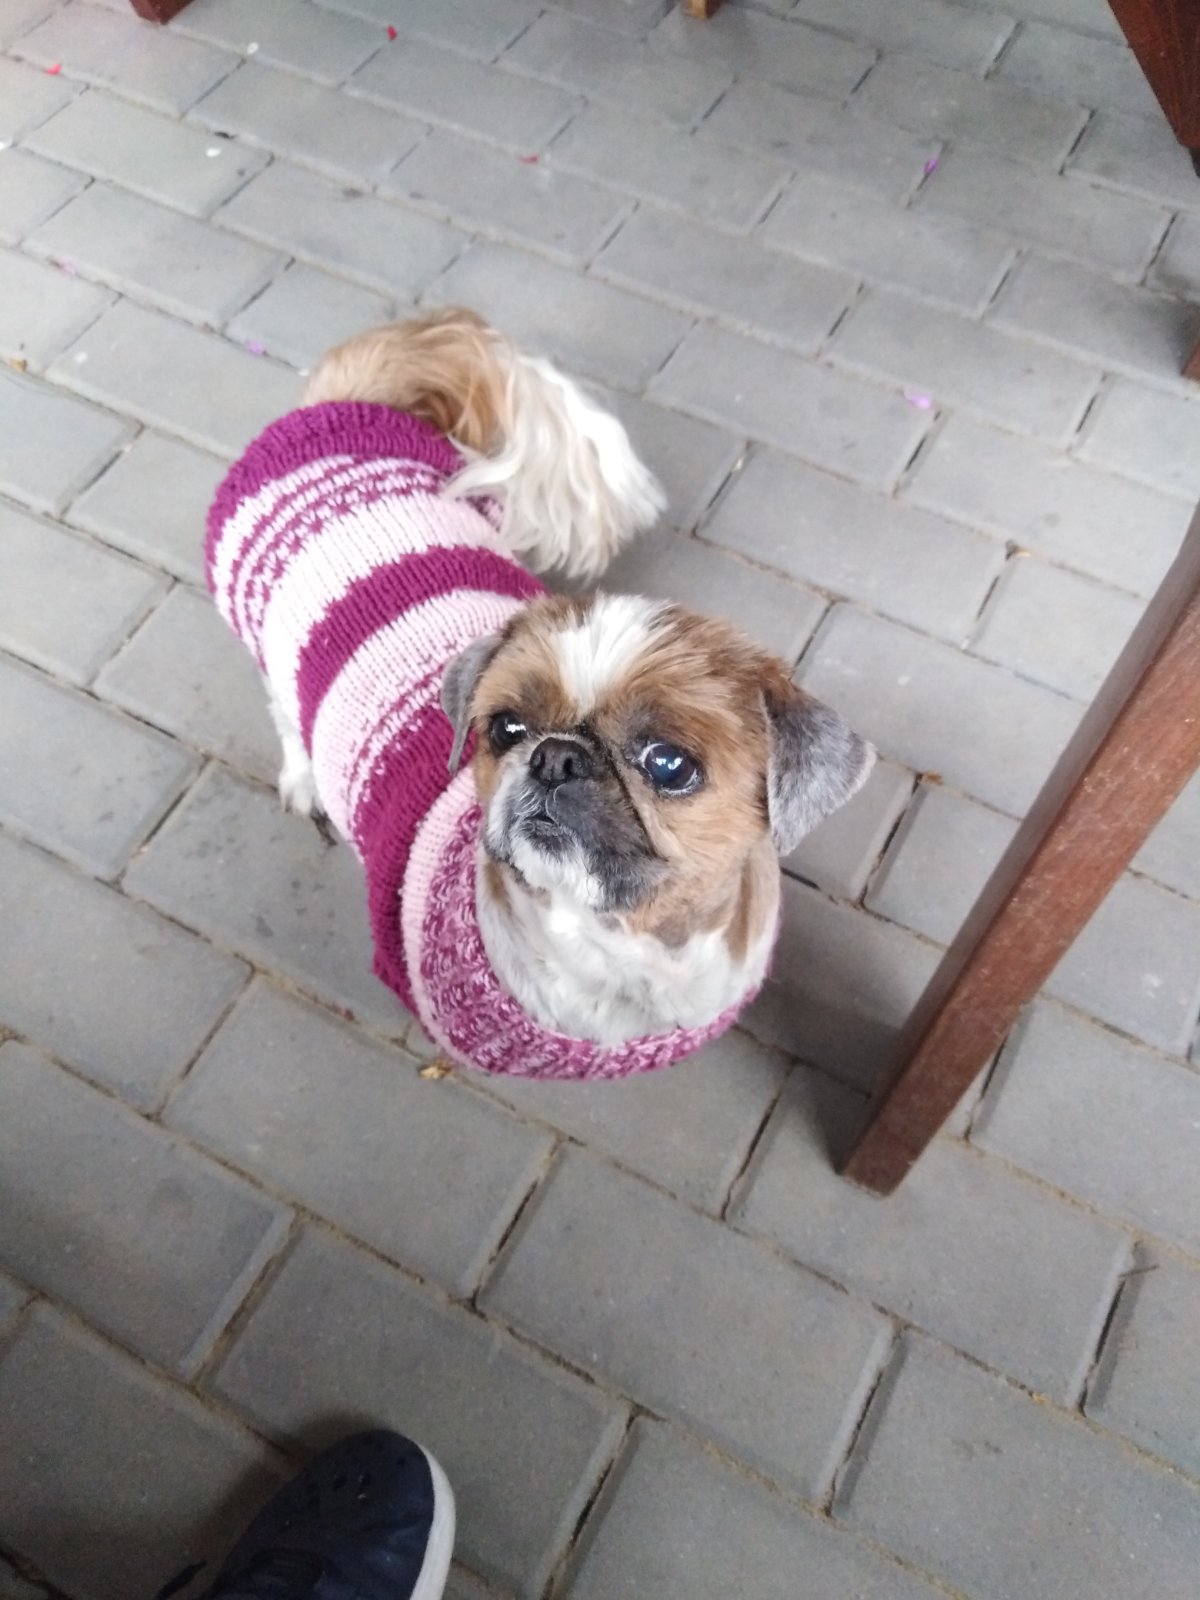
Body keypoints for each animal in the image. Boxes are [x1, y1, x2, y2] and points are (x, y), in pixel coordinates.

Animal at [206, 310, 874, 1079]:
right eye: (506, 729)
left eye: (669, 764)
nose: (555, 757)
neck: (615, 954)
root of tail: (351, 397)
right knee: (288, 717)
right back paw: (303, 779)